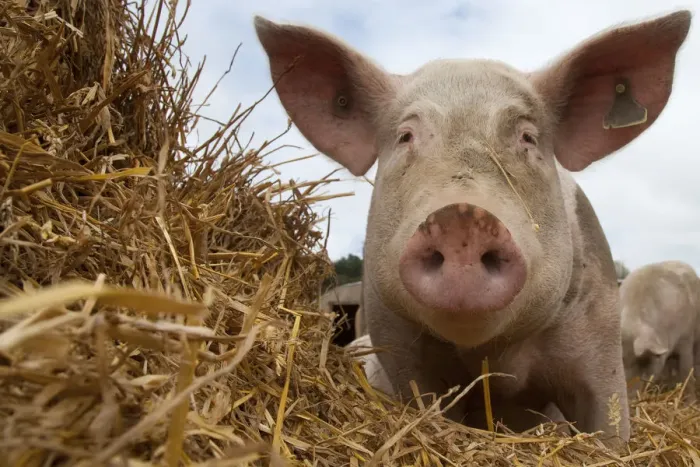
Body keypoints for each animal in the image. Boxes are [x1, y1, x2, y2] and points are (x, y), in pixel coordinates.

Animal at [619, 260, 700, 403]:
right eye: (622, 362)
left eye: (645, 361)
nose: (630, 400)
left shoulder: (686, 338)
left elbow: (686, 371)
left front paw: (690, 402)